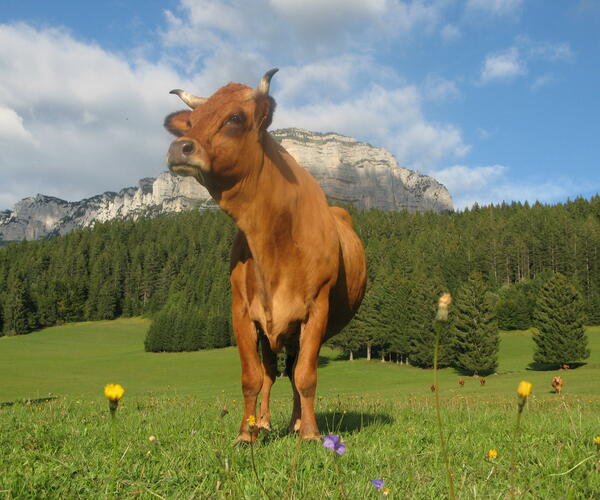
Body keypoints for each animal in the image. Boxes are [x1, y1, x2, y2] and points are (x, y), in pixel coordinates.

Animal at [165, 70, 370, 442]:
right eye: (192, 122)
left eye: (234, 118)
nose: (178, 147)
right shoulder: (243, 312)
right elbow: (253, 377)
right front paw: (246, 434)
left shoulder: (316, 309)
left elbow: (306, 376)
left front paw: (311, 434)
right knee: (274, 374)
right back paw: (265, 422)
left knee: (295, 371)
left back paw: (297, 423)